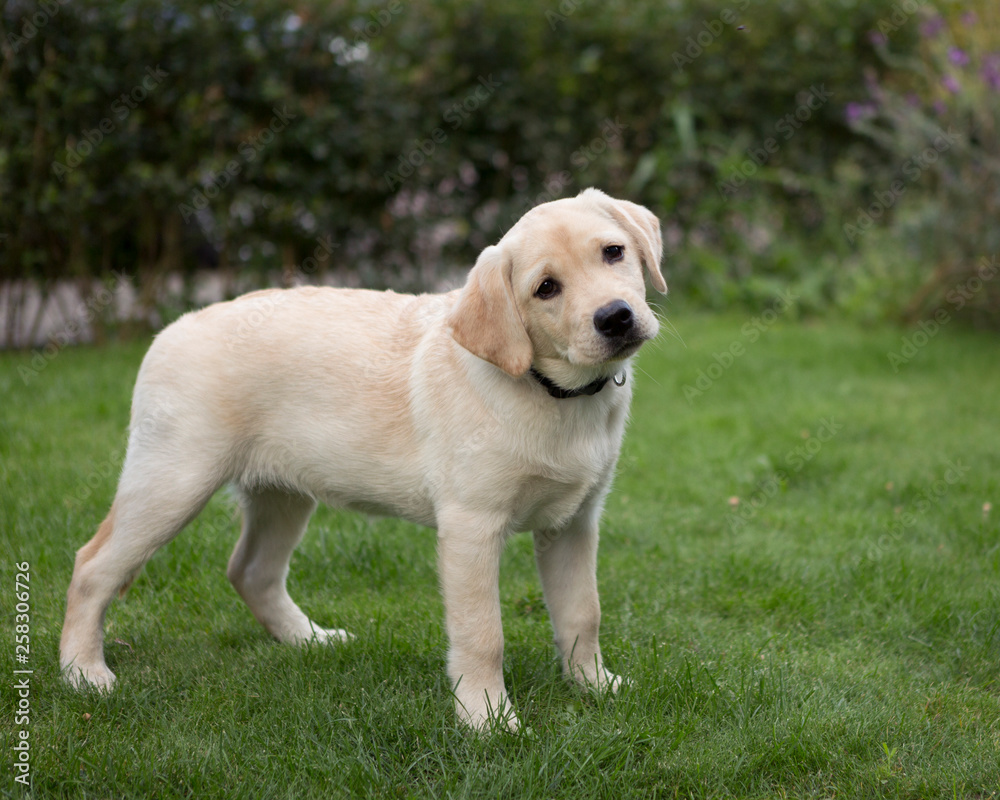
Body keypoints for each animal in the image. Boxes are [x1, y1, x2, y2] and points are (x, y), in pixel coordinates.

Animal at [64, 188, 672, 732]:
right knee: (92, 566)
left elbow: (583, 612)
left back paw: (308, 640)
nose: (615, 317)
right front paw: (488, 719)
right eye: (546, 288)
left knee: (251, 570)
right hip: (173, 479)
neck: (553, 392)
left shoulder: (574, 522)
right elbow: (483, 634)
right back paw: (83, 674)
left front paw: (595, 686)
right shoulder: (471, 526)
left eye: (613, 252)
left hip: (282, 492)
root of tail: (174, 326)